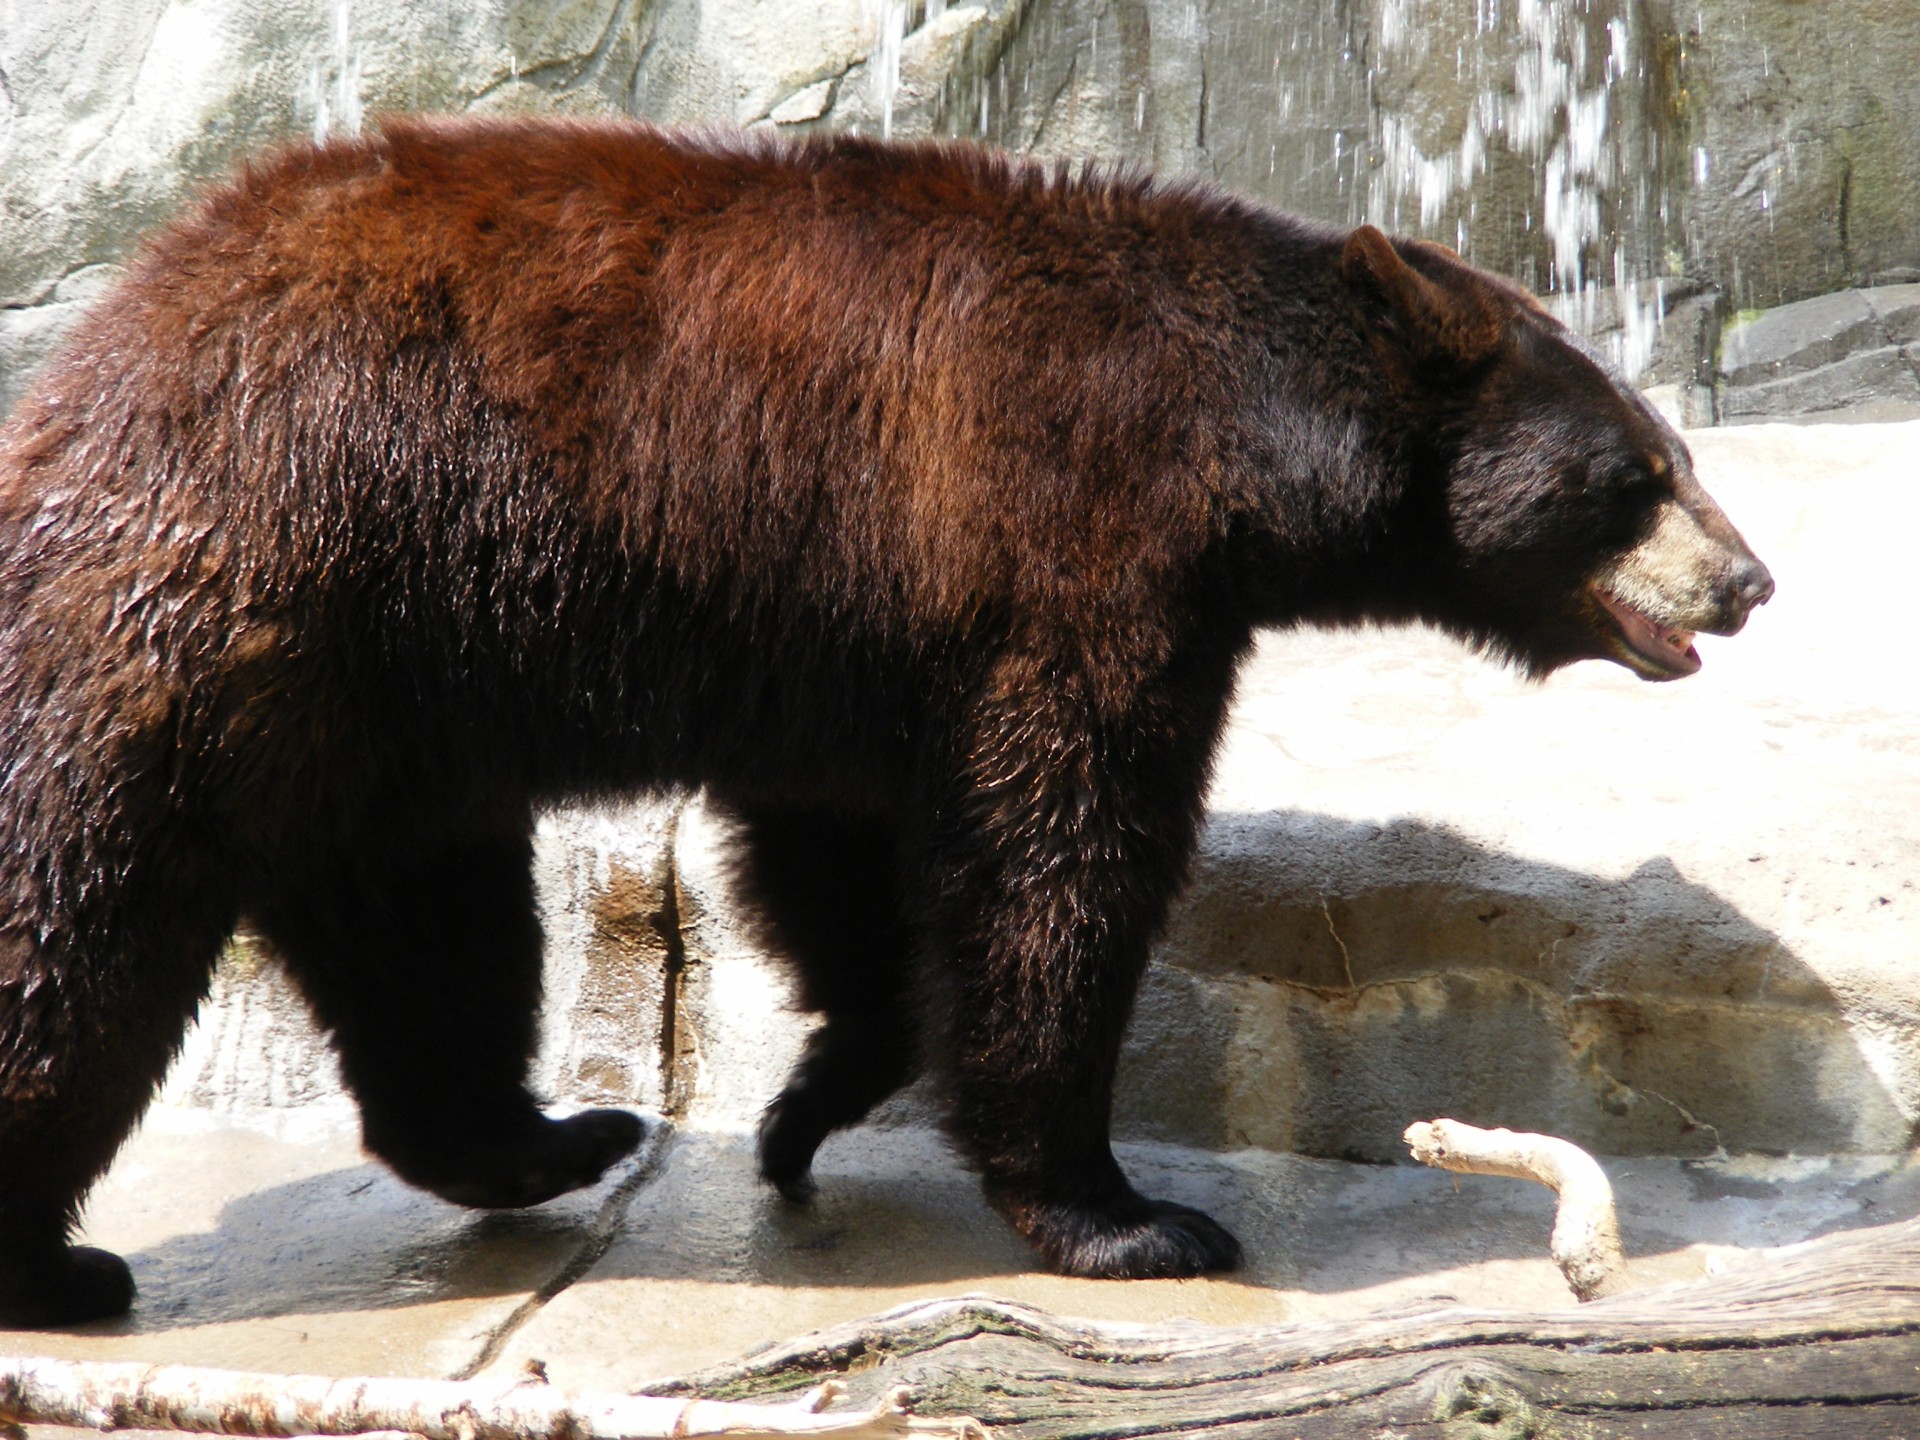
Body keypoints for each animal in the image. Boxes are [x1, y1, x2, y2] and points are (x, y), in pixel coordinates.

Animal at [0, 118, 1766, 1328]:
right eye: (1637, 472)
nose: (1747, 580)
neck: (1234, 441)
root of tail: (97, 355)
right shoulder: (1064, 546)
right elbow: (1059, 847)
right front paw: (1127, 1215)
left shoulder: (843, 615)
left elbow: (844, 845)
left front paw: (809, 1101)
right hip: (243, 577)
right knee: (80, 911)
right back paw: (64, 1263)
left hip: (377, 693)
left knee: (427, 930)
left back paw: (549, 1138)